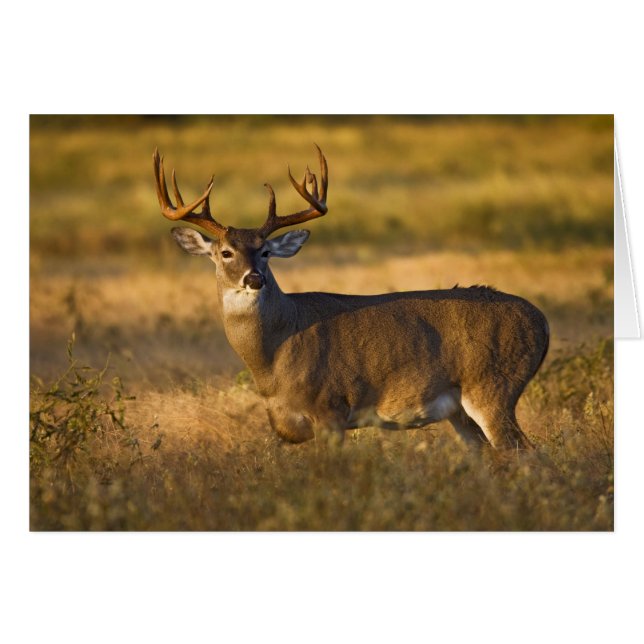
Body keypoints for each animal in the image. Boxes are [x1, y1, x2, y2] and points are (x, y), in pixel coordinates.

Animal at [152, 145, 549, 450]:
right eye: (225, 252)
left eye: (265, 252)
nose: (254, 278)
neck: (275, 355)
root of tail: (542, 322)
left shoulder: (329, 407)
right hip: (460, 412)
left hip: (493, 386)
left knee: (528, 455)